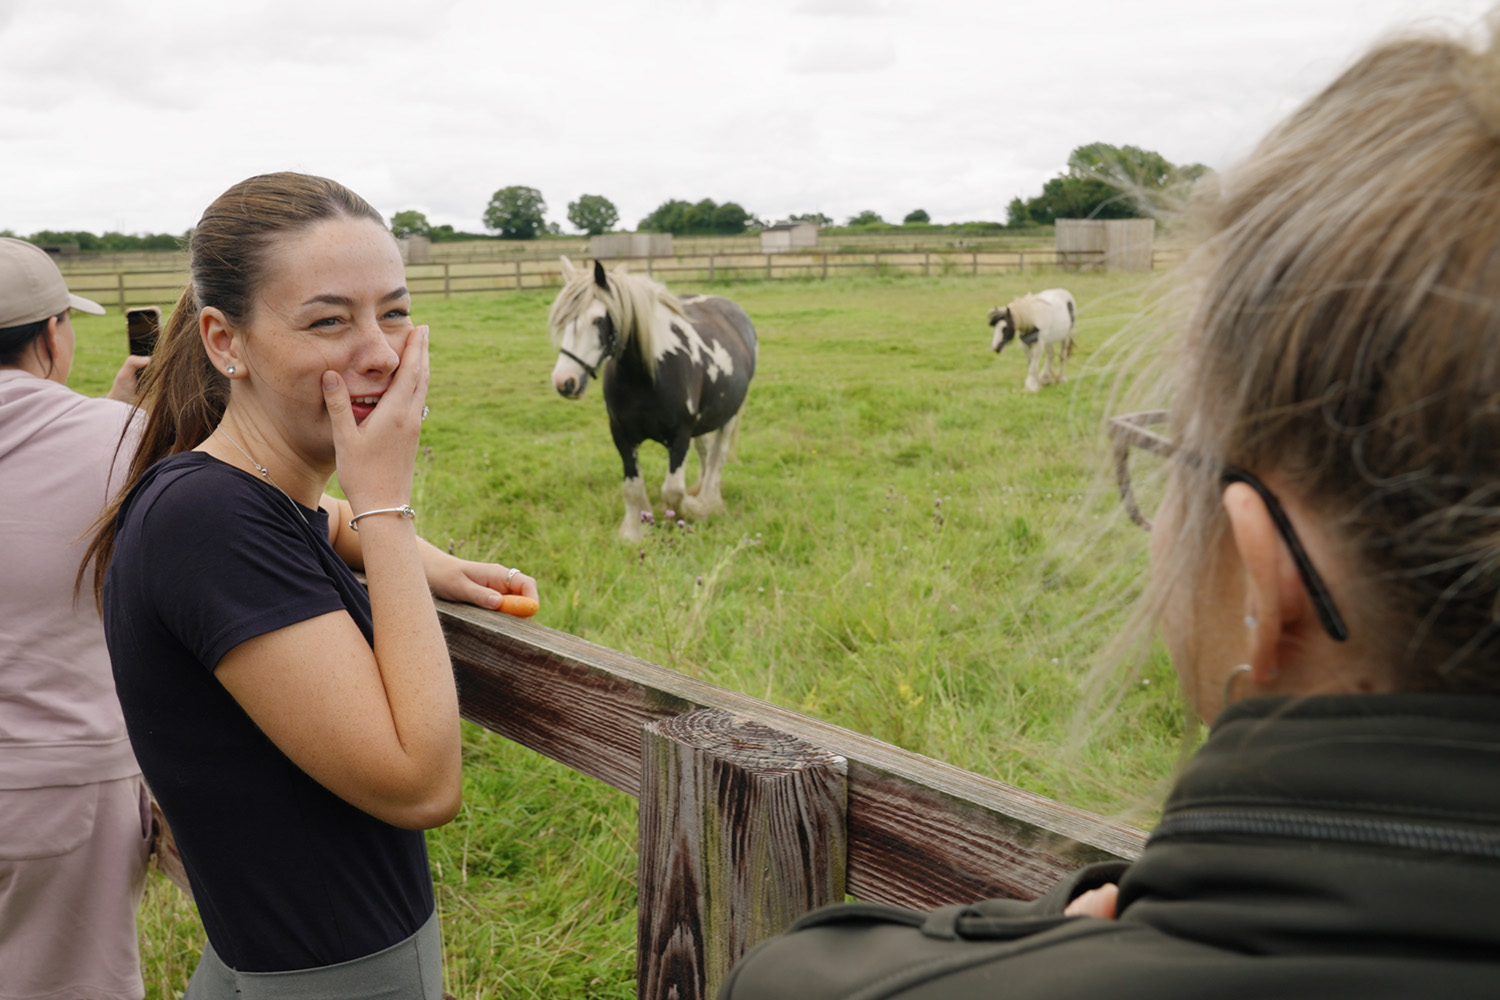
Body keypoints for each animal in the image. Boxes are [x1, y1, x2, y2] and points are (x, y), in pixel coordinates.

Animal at [552, 257, 762, 539]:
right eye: (563, 321)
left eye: (598, 320)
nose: (565, 381)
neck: (647, 376)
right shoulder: (621, 434)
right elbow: (632, 487)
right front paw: (634, 530)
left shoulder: (680, 435)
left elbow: (673, 491)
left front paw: (692, 511)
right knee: (705, 452)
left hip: (728, 416)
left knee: (717, 455)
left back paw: (709, 501)